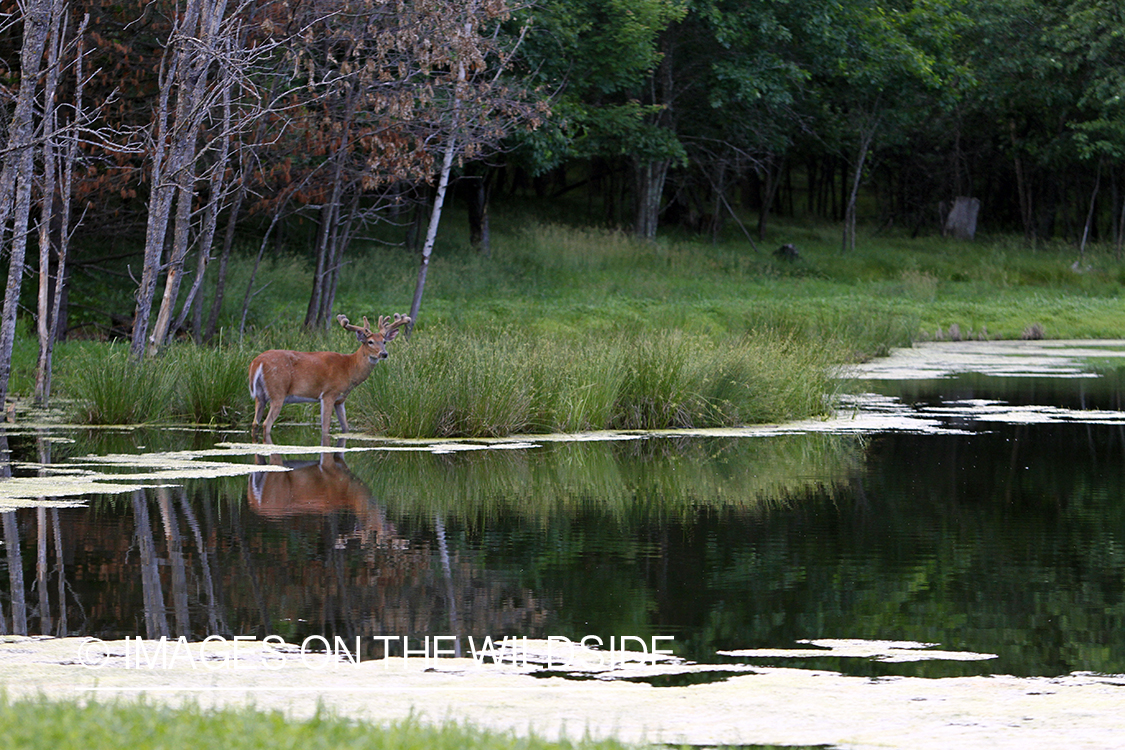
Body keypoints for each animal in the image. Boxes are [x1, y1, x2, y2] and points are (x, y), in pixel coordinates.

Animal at [248, 312, 411, 443]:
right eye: (370, 341)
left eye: (384, 341)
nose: (384, 354)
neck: (349, 368)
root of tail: (257, 362)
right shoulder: (328, 394)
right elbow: (325, 428)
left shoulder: (340, 399)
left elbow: (346, 428)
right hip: (278, 391)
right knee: (266, 424)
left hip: (260, 395)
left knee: (255, 423)